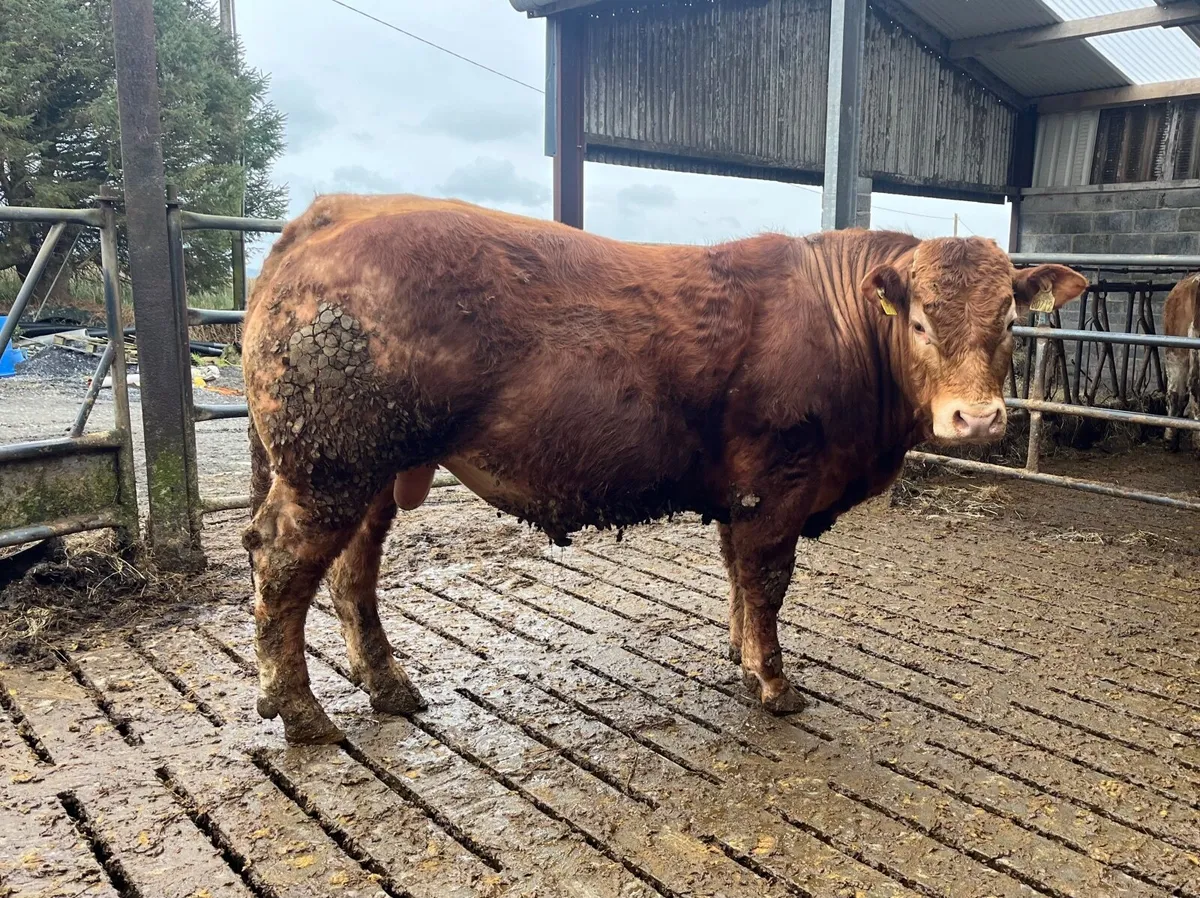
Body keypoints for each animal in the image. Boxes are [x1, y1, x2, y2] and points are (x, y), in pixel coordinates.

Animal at [241, 194, 1088, 744]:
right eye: (917, 320)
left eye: (1010, 319)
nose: (978, 419)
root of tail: (335, 213)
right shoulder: (777, 483)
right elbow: (767, 581)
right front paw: (774, 683)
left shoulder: (742, 492)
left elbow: (739, 577)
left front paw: (740, 656)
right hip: (329, 467)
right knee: (282, 564)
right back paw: (300, 711)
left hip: (373, 471)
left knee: (352, 570)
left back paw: (386, 686)